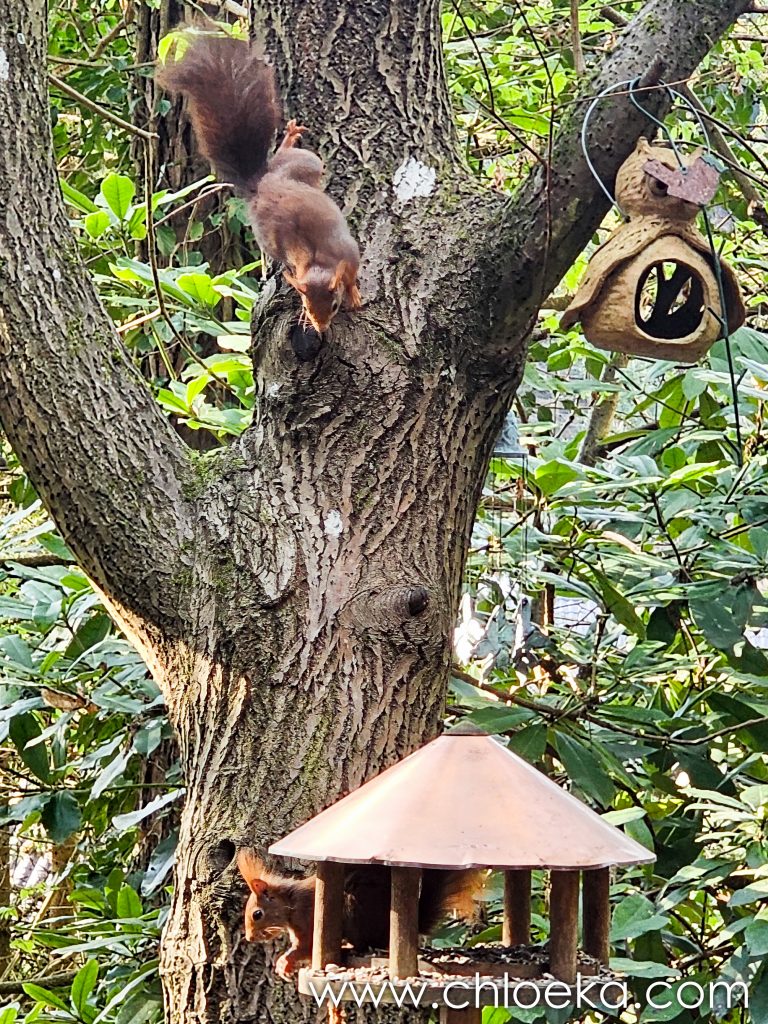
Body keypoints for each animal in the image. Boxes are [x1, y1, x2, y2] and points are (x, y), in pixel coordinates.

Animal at [156, 33, 361, 334]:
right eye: (307, 307)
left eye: (334, 306)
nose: (320, 329)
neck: (318, 261)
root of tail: (262, 183)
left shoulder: (349, 252)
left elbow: (352, 273)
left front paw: (353, 294)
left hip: (304, 163)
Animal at [237, 851, 481, 980]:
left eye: (257, 914)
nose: (249, 938)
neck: (291, 903)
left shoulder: (307, 919)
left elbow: (305, 947)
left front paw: (284, 962)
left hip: (353, 910)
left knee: (365, 943)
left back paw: (351, 948)